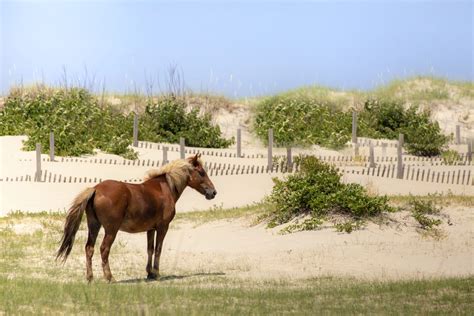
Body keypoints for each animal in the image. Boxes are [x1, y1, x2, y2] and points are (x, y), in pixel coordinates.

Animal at [56, 153, 217, 282]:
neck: (165, 188)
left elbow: (150, 249)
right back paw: (109, 277)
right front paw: (156, 273)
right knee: (104, 249)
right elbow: (158, 249)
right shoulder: (163, 227)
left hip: (94, 226)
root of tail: (96, 189)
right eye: (201, 172)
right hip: (111, 230)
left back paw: (90, 278)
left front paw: (149, 273)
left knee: (89, 248)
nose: (213, 192)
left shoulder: (150, 229)